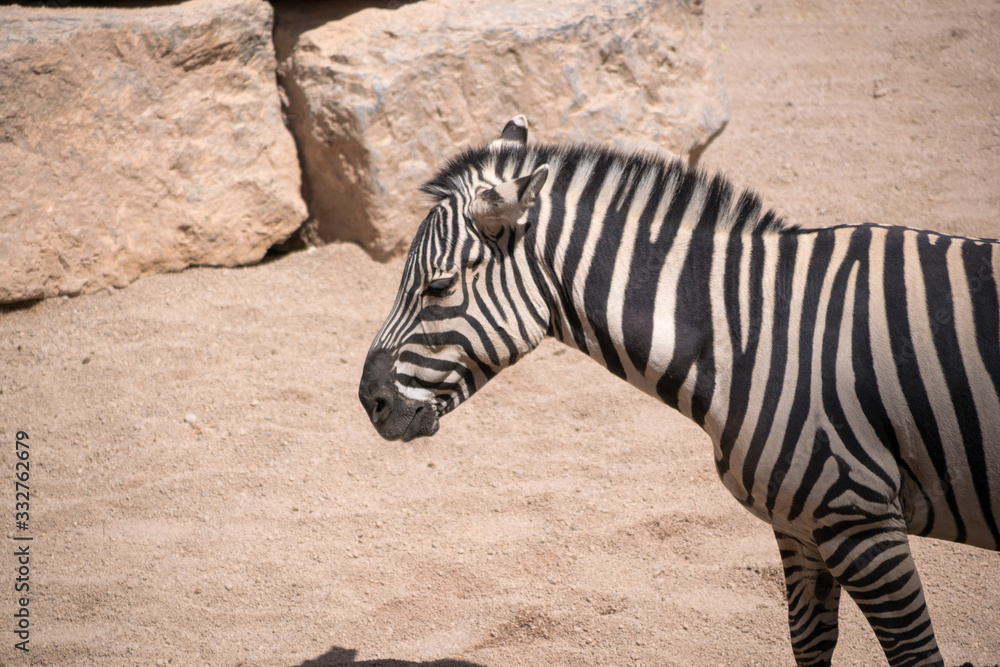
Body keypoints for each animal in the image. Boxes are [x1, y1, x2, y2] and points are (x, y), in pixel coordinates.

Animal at [358, 115, 1000, 666]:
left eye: (439, 286)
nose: (371, 402)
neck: (750, 332)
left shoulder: (858, 519)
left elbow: (915, 654)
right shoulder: (801, 524)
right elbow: (809, 642)